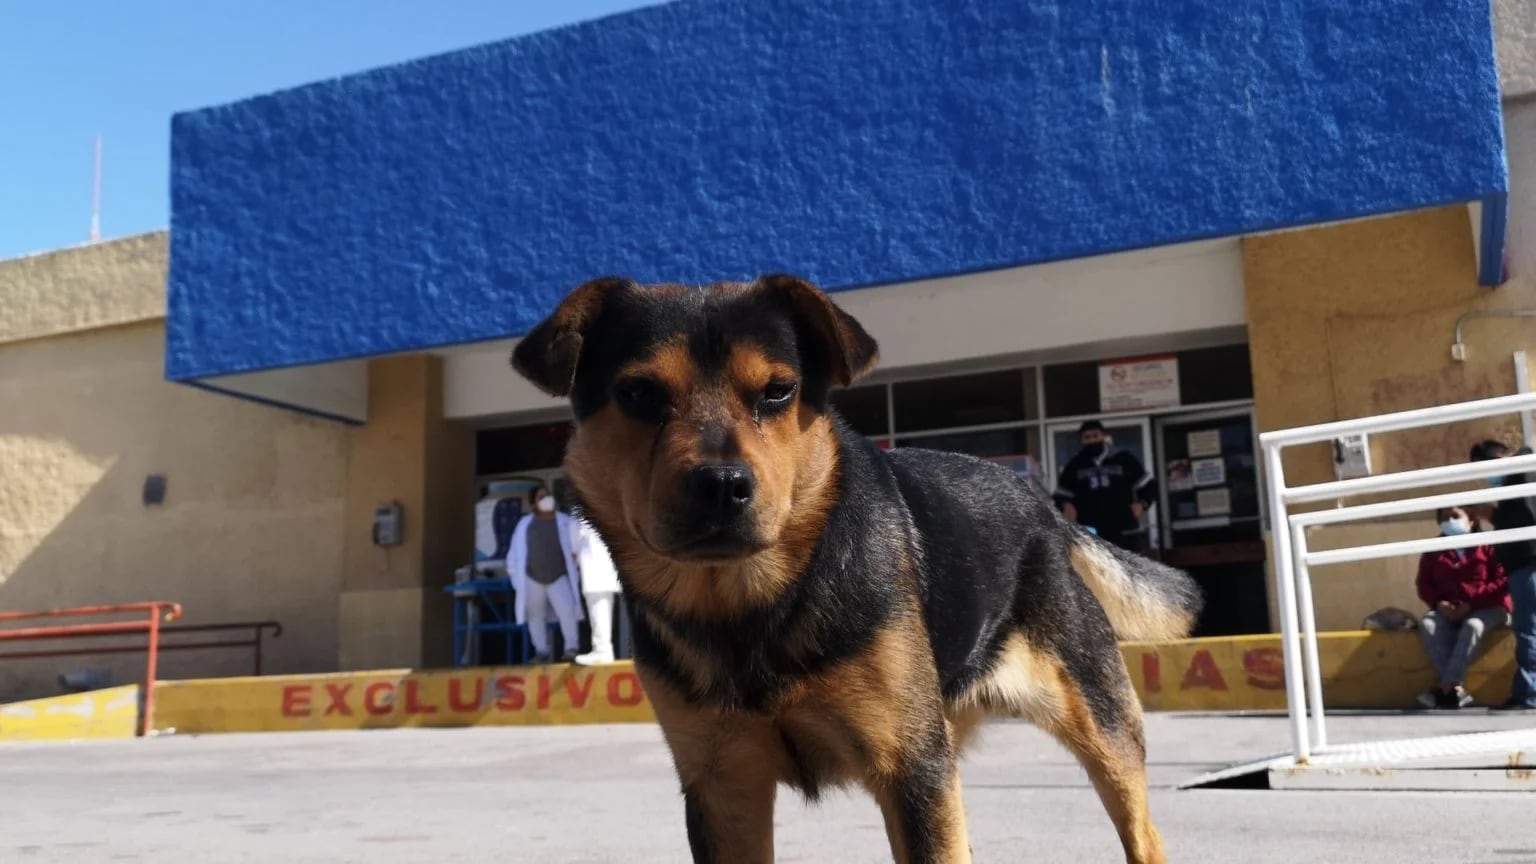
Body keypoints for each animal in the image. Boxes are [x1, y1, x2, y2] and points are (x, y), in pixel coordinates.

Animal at [509, 275, 1204, 860]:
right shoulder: (722, 787)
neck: (751, 602)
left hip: (1100, 728)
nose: (721, 486)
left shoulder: (911, 771)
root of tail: (1038, 501)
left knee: (1142, 833)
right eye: (639, 394)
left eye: (778, 392)